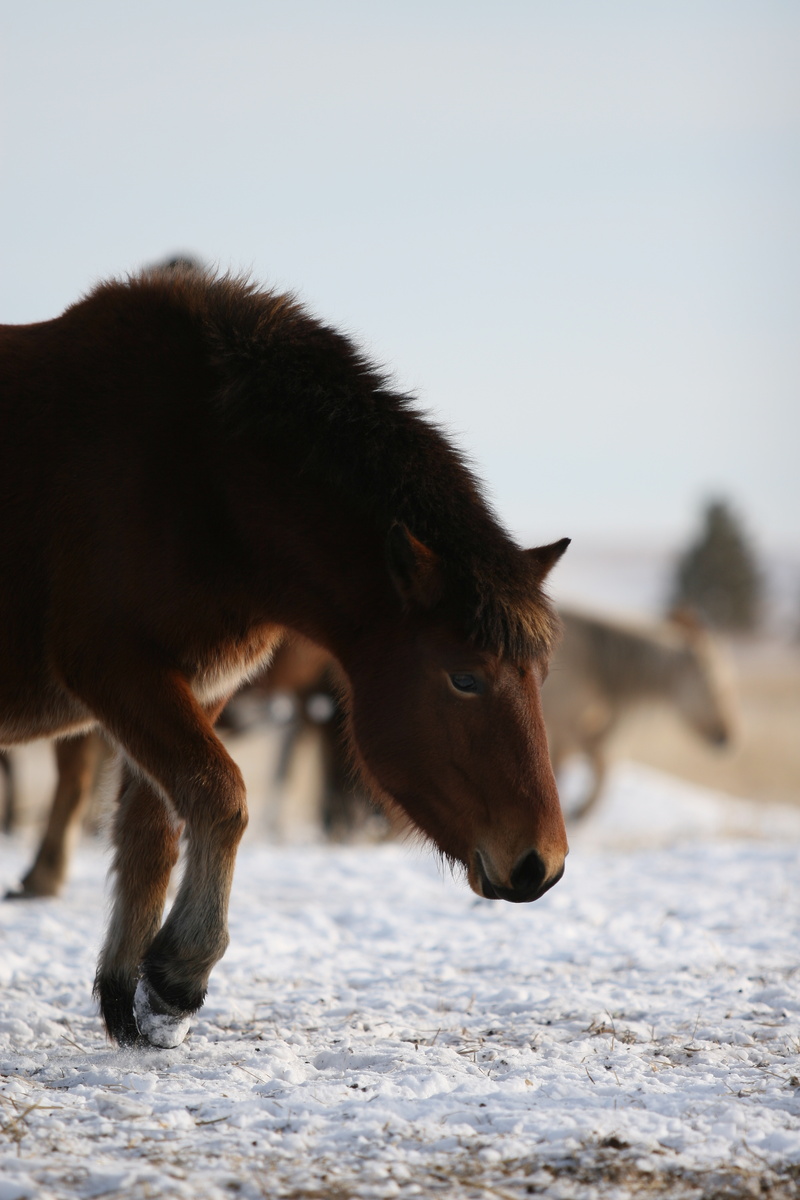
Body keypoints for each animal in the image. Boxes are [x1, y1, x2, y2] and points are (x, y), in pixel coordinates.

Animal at [0, 266, 569, 1048]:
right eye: (464, 677)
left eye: (539, 675)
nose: (543, 863)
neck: (197, 471)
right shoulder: (111, 666)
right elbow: (221, 795)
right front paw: (180, 971)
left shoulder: (189, 686)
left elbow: (153, 829)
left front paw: (130, 993)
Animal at [543, 605, 736, 818]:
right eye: (719, 688)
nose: (726, 738)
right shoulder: (565, 724)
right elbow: (599, 764)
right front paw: (580, 811)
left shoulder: (573, 730)